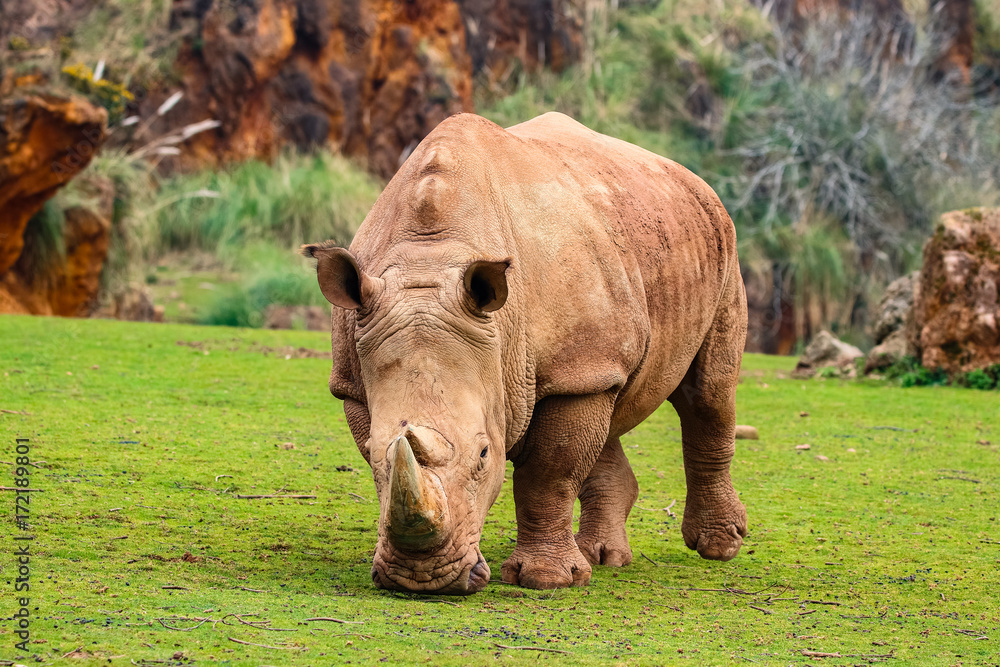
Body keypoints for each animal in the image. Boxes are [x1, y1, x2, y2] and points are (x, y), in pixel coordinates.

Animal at [304, 112, 748, 594]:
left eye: (484, 455)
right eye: (373, 450)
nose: (424, 581)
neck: (432, 254)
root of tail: (691, 177)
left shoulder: (567, 370)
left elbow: (549, 471)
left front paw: (548, 580)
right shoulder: (352, 383)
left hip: (718, 241)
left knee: (708, 393)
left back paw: (719, 547)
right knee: (610, 403)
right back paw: (605, 558)